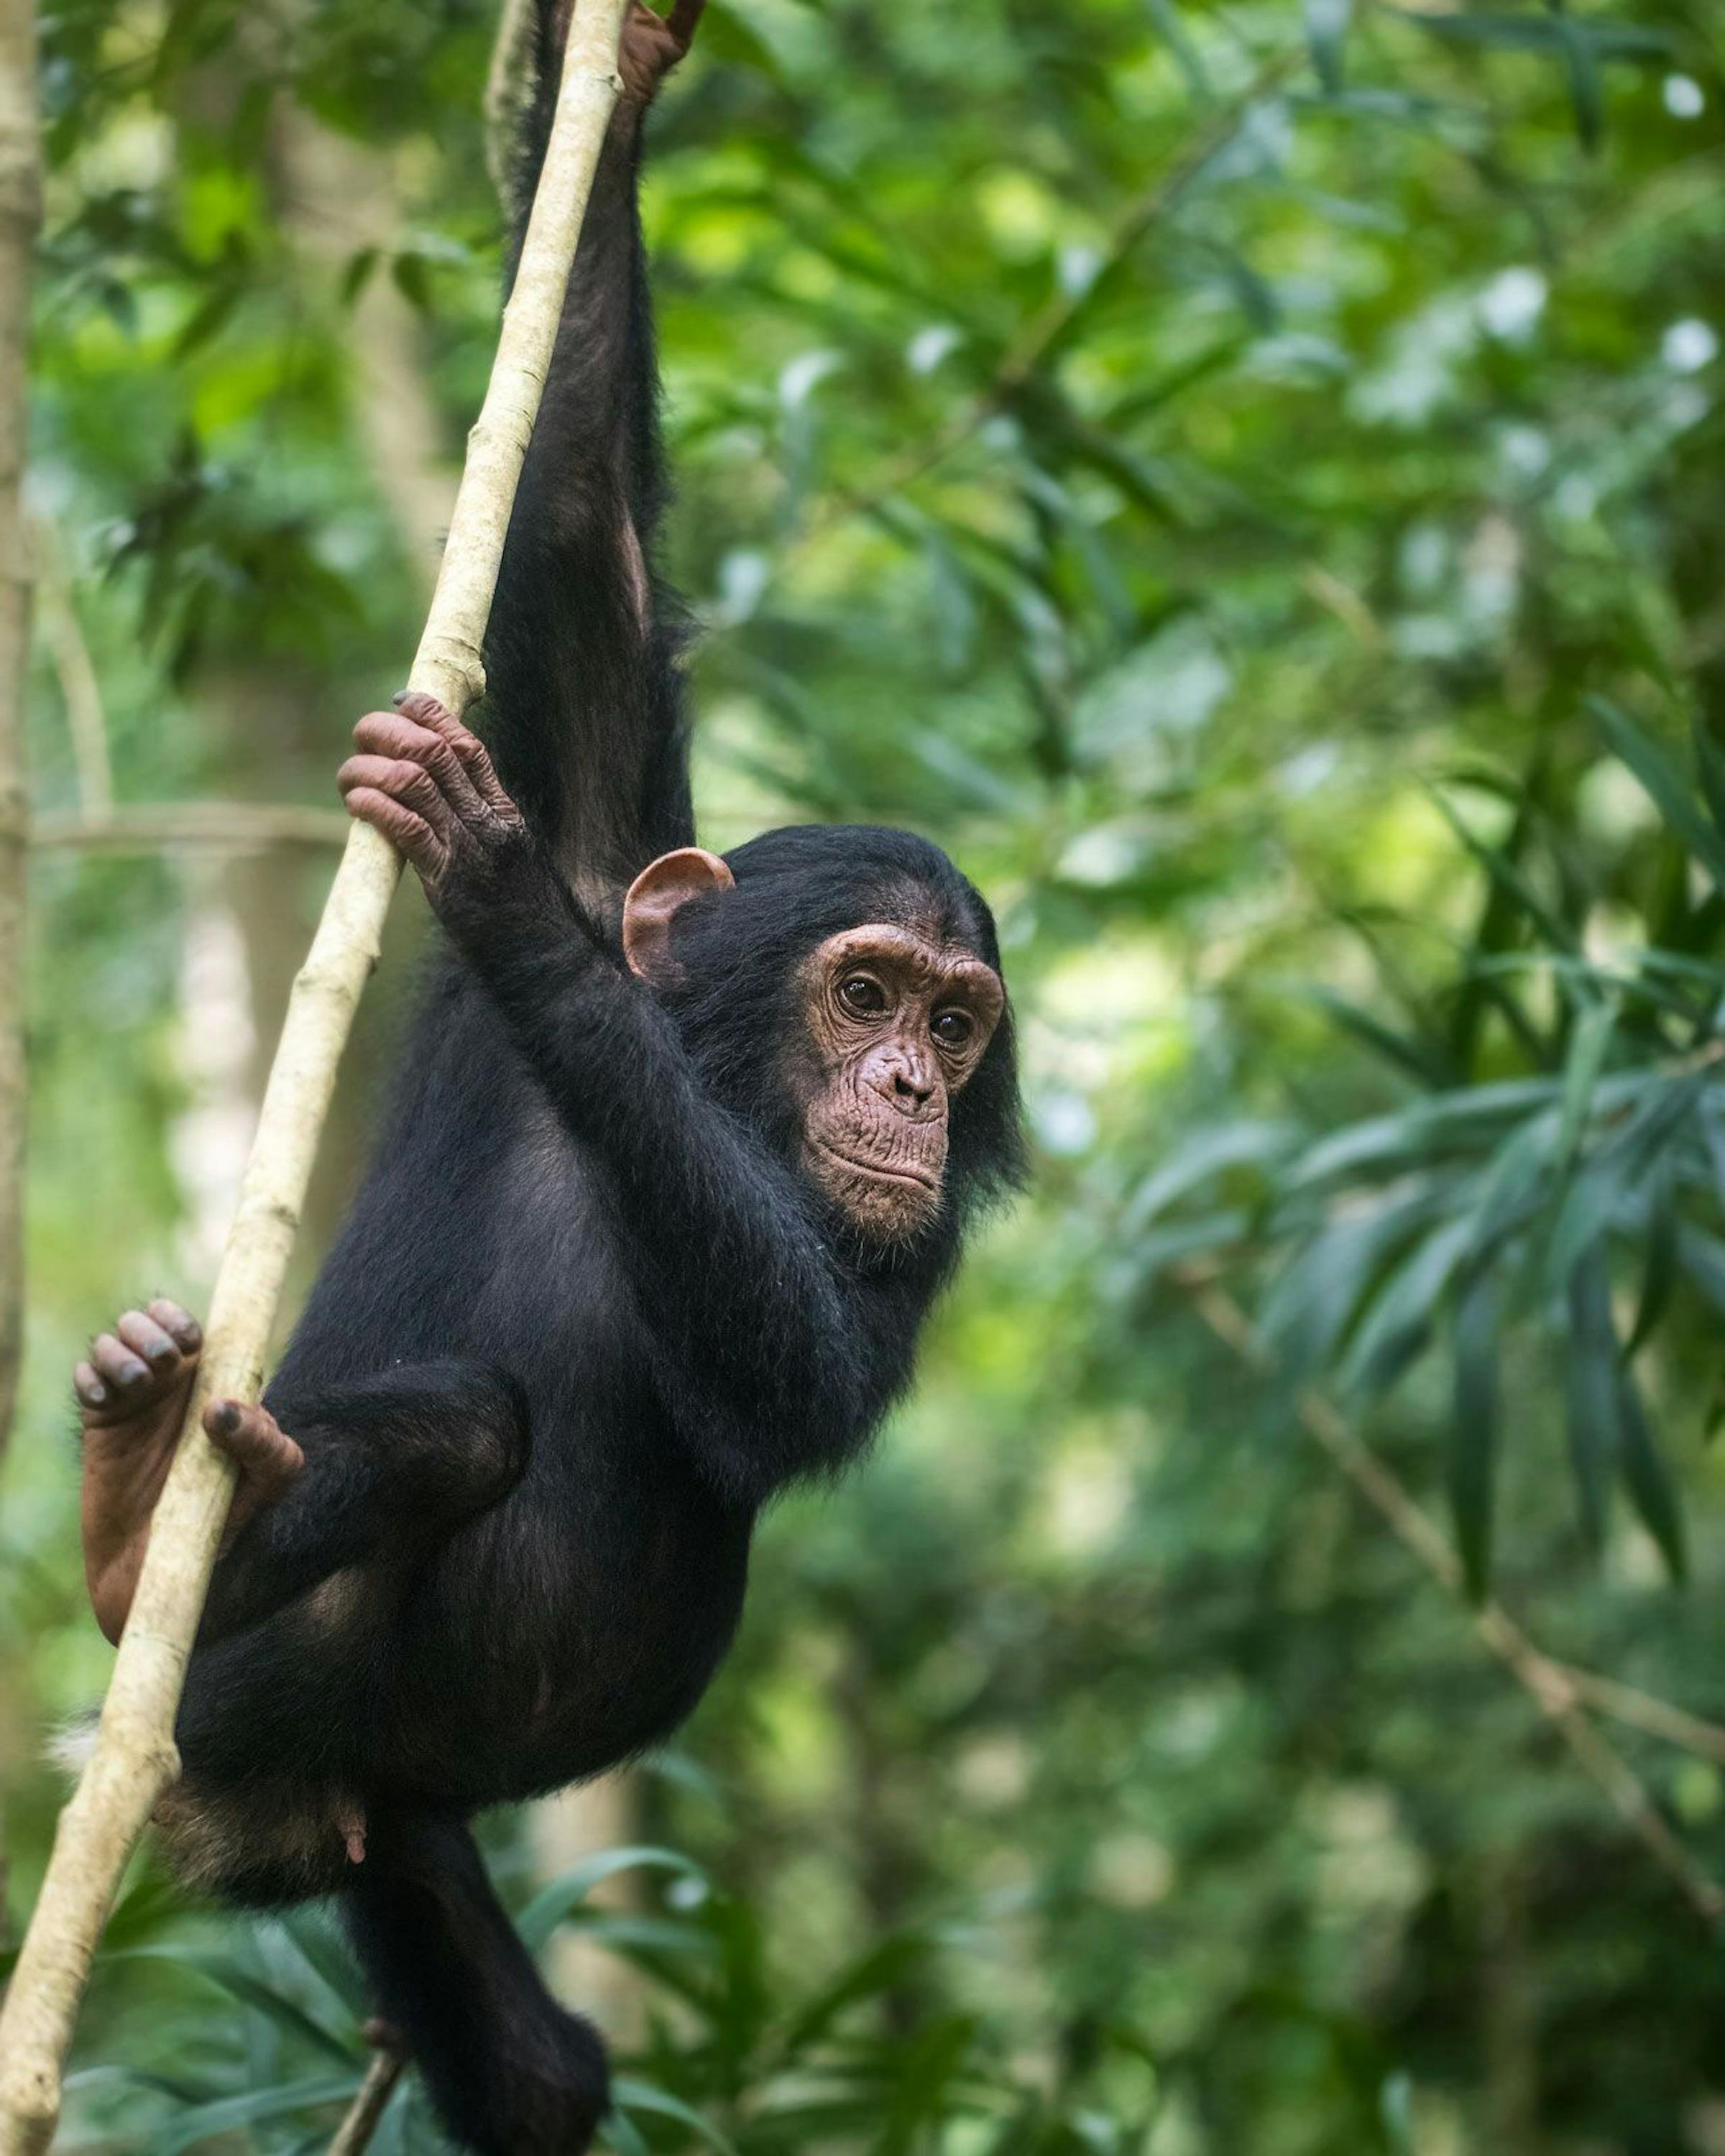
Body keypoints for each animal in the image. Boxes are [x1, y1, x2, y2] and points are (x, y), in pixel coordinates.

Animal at [70, 5, 1023, 2150]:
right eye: (862, 991)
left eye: (955, 1025)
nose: (910, 1097)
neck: (707, 1104)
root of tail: (245, 1816)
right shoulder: (612, 806)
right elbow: (577, 513)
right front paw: (607, 71)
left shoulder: (897, 1253)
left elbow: (800, 1366)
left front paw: (492, 886)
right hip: (250, 1719)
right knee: (452, 1429)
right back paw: (136, 1514)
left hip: (384, 1831)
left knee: (537, 2074)